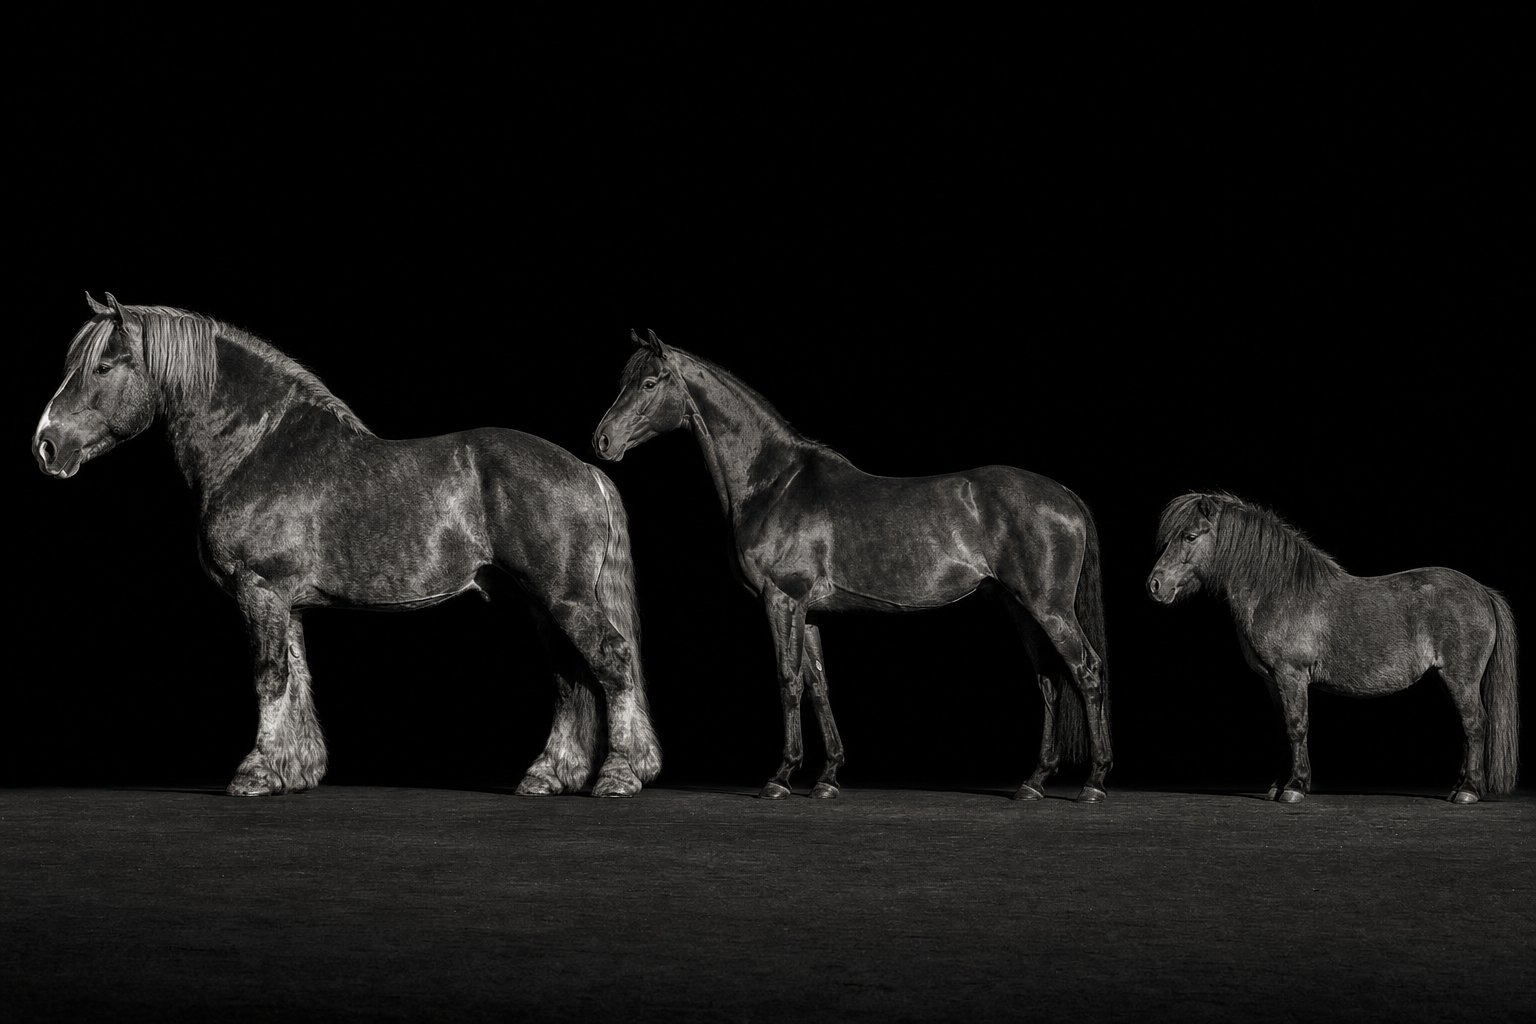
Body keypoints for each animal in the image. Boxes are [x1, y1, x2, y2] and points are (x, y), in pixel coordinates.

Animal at [32, 293, 661, 798]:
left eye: (103, 365)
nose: (46, 445)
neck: (257, 447)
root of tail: (585, 469)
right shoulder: (284, 602)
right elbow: (295, 676)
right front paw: (295, 771)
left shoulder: (259, 592)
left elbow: (269, 677)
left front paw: (255, 774)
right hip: (540, 604)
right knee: (571, 679)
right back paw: (548, 775)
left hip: (564, 599)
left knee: (611, 661)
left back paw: (619, 776)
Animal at [592, 329, 1112, 802]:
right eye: (625, 381)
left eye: (649, 382)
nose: (602, 440)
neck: (775, 482)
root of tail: (1064, 495)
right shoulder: (808, 610)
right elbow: (818, 684)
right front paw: (827, 778)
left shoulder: (782, 600)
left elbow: (788, 680)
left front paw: (780, 777)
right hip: (1020, 607)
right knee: (1049, 680)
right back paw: (1034, 782)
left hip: (1049, 609)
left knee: (1086, 671)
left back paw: (1094, 782)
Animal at [1147, 492, 1519, 803]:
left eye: (1190, 536)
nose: (1155, 584)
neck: (1277, 592)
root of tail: (1482, 592)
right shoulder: (1271, 680)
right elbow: (1282, 726)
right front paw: (1277, 784)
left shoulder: (1292, 675)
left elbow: (1297, 725)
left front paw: (1295, 787)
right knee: (1467, 728)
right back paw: (1459, 786)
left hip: (1462, 678)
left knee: (1475, 724)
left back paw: (1468, 791)